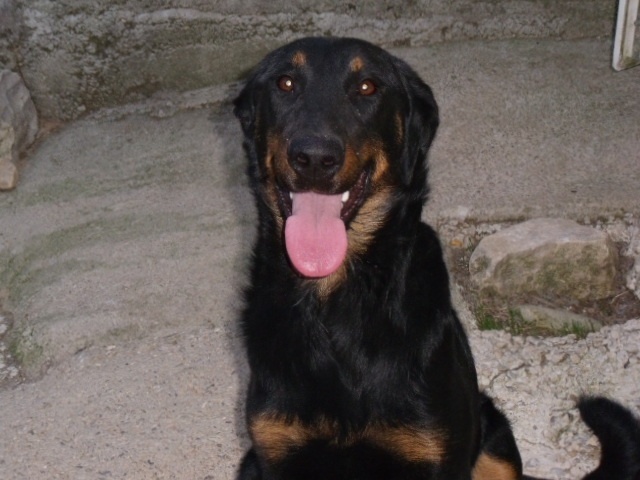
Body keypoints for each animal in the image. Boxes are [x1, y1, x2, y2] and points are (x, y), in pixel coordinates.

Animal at [233, 37, 640, 479]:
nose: (314, 158)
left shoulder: (433, 450)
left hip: (495, 440)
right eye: (285, 83)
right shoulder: (276, 452)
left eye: (368, 87)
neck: (336, 300)